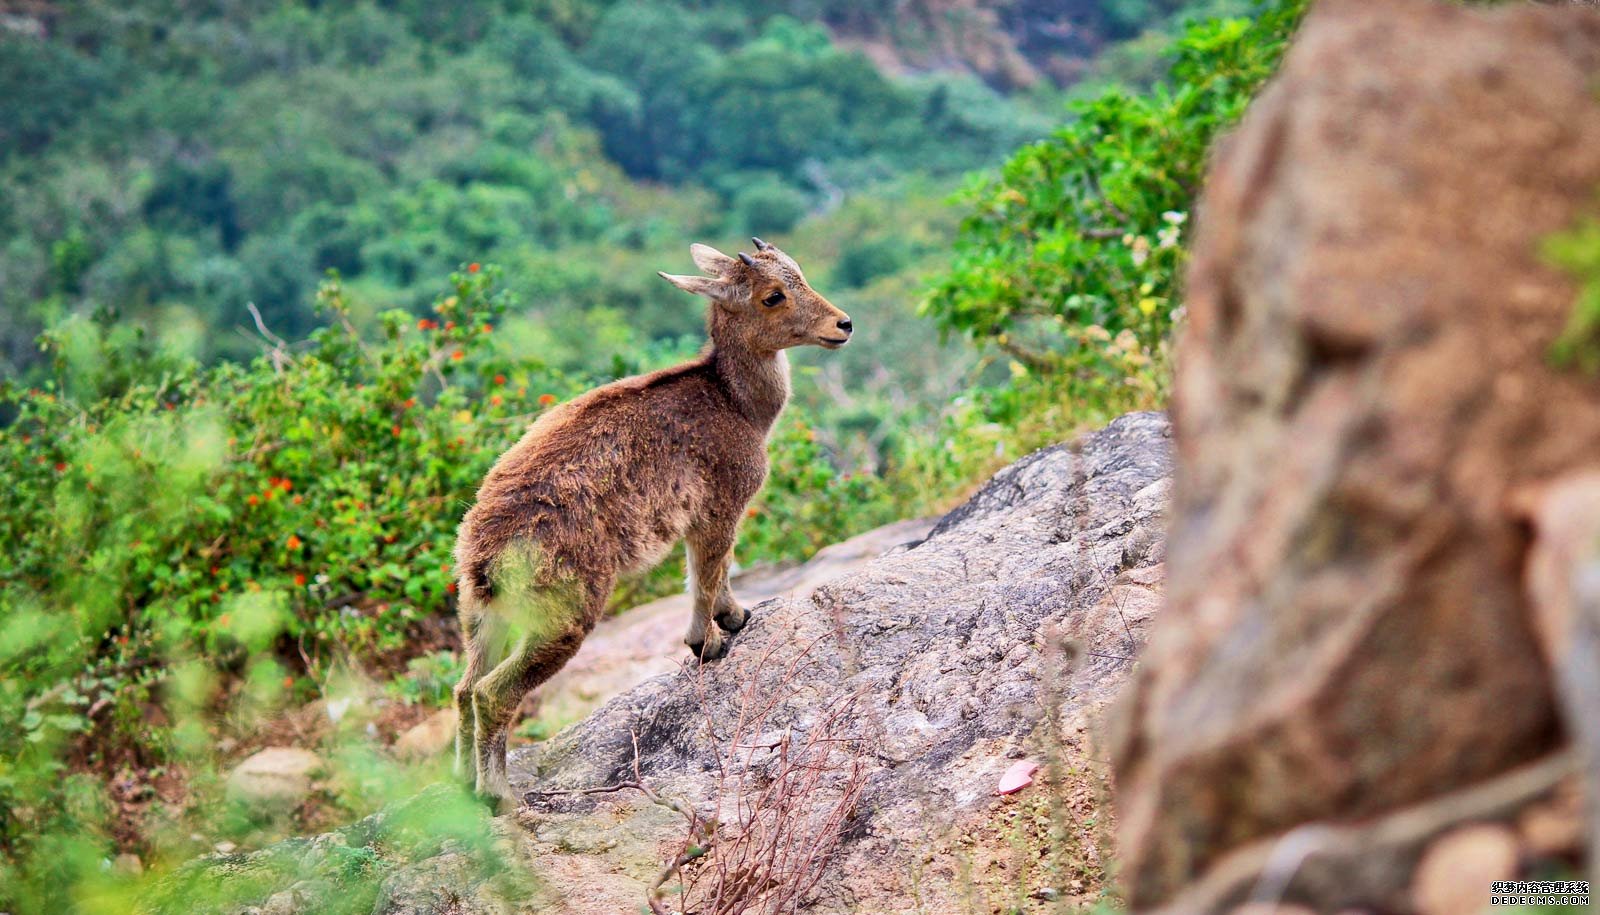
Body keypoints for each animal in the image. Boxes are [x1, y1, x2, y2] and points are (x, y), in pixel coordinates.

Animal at [451, 239, 851, 803]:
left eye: (800, 272)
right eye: (772, 295)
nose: (843, 324)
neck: (734, 402)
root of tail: (483, 553)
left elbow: (717, 572)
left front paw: (734, 617)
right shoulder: (719, 504)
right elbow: (708, 572)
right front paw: (708, 640)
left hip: (481, 614)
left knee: (463, 688)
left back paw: (463, 788)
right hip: (562, 614)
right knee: (491, 693)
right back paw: (498, 796)